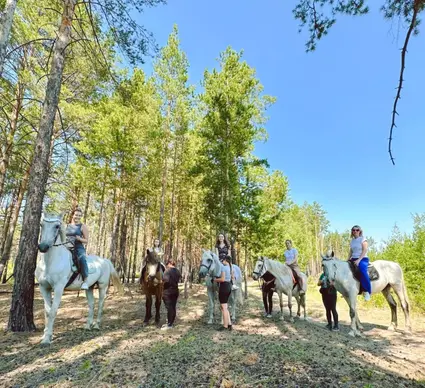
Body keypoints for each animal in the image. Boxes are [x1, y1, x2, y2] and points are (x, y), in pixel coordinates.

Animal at [35, 214, 122, 344]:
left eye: (57, 226)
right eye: (41, 224)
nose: (43, 247)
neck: (49, 263)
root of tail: (105, 260)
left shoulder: (59, 288)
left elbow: (53, 311)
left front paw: (47, 339)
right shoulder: (44, 288)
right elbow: (47, 312)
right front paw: (45, 335)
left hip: (102, 286)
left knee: (101, 303)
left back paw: (96, 325)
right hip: (90, 287)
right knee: (91, 304)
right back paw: (87, 326)